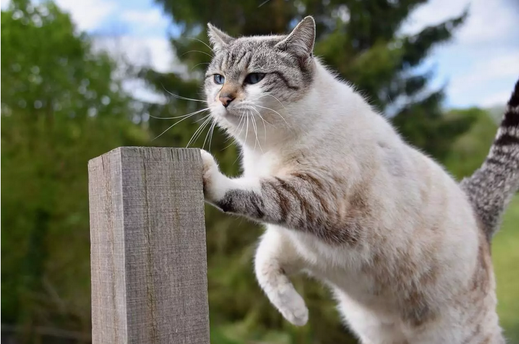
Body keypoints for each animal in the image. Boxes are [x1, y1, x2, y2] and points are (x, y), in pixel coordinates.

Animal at [199, 16, 519, 344]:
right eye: (219, 79)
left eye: (254, 78)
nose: (223, 99)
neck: (264, 146)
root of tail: (476, 210)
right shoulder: (292, 241)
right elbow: (262, 263)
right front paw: (297, 314)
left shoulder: (313, 197)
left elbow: (250, 195)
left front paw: (208, 171)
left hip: (462, 333)